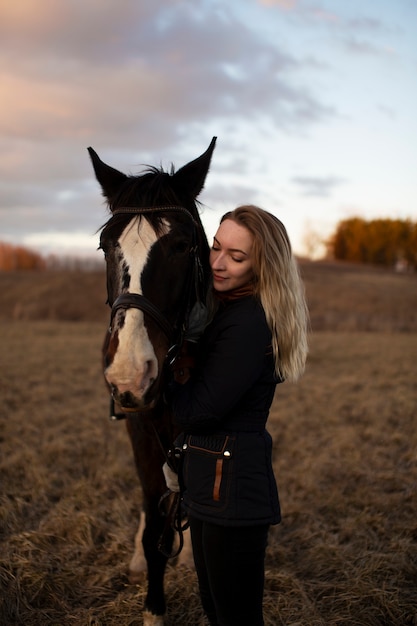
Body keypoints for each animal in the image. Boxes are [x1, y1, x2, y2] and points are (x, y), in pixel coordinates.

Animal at [89, 139, 216, 620]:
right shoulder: (142, 427)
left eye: (182, 246)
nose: (130, 371)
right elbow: (152, 516)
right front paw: (153, 609)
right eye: (107, 246)